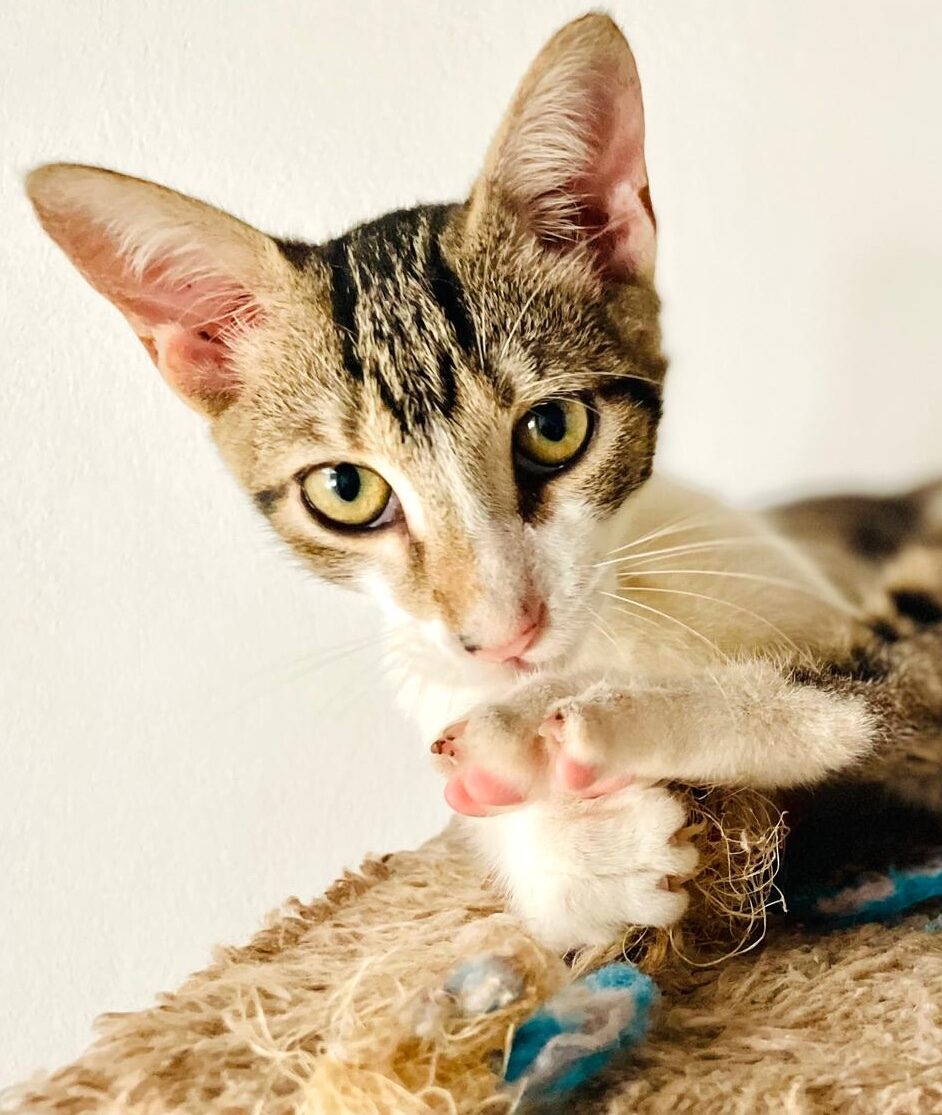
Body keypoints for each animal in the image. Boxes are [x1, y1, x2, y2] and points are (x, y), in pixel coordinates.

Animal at [27, 13, 940, 949]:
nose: (507, 633)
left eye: (553, 428)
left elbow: (868, 688)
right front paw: (586, 850)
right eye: (346, 490)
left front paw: (558, 725)